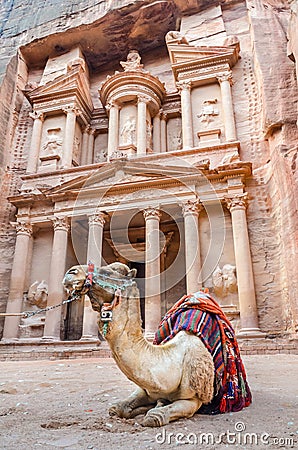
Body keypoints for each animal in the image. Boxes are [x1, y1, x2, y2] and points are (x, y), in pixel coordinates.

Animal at [62, 260, 214, 426]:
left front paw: (156, 408)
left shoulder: (194, 398)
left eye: (109, 271)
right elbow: (116, 408)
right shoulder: (146, 389)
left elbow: (154, 416)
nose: (71, 272)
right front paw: (153, 404)